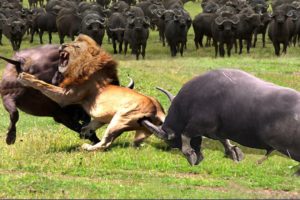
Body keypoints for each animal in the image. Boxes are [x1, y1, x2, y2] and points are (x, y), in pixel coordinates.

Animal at [17, 34, 165, 151]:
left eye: (76, 46)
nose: (63, 45)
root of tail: (157, 110)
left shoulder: (67, 96)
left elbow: (44, 85)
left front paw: (25, 77)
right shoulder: (102, 116)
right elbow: (91, 124)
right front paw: (85, 132)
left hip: (121, 119)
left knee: (105, 144)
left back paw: (87, 147)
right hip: (139, 129)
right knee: (135, 142)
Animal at [142, 69, 300, 170]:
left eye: (172, 140)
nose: (170, 146)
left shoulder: (198, 124)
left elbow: (185, 135)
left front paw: (190, 154)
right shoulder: (217, 130)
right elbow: (224, 140)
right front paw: (233, 152)